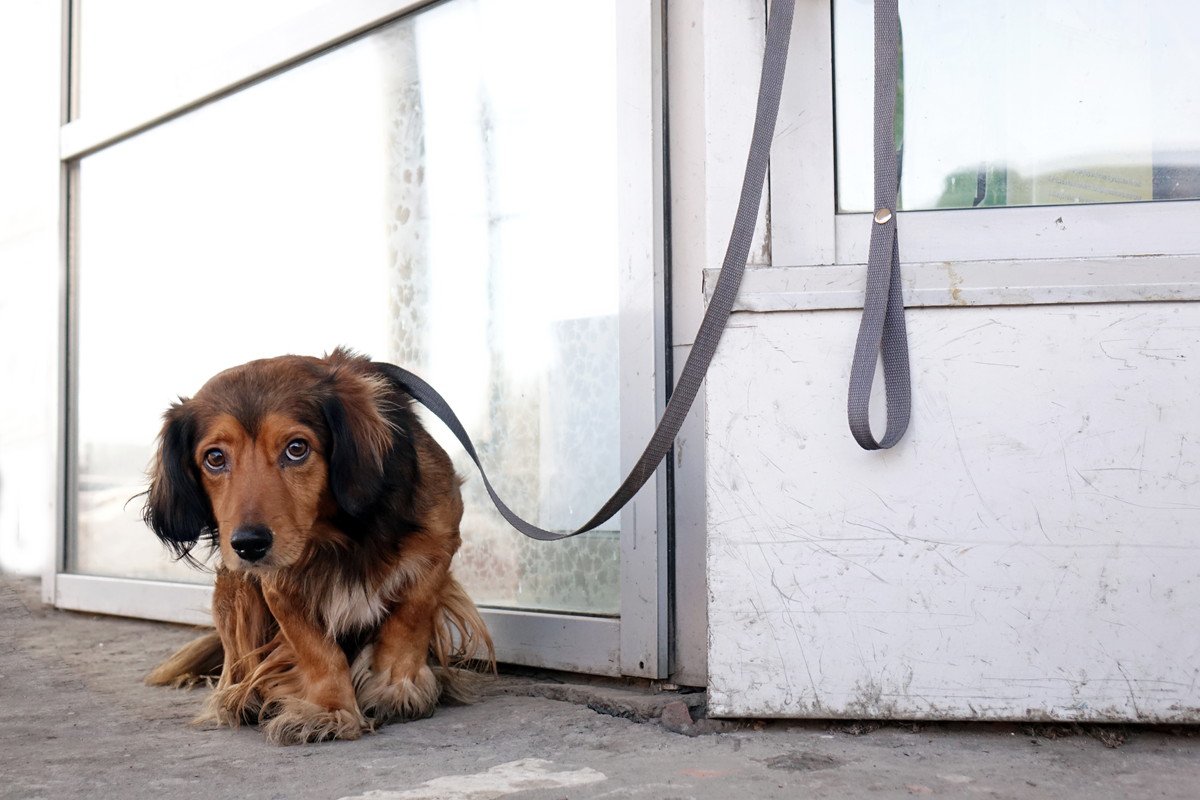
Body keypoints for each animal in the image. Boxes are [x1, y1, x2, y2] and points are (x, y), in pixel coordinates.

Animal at [141, 347, 492, 743]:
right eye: (214, 458)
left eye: (297, 449)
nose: (249, 545)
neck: (337, 534)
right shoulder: (277, 586)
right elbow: (315, 648)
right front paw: (329, 708)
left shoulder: (439, 543)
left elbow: (410, 617)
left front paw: (394, 687)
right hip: (234, 586)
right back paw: (243, 696)